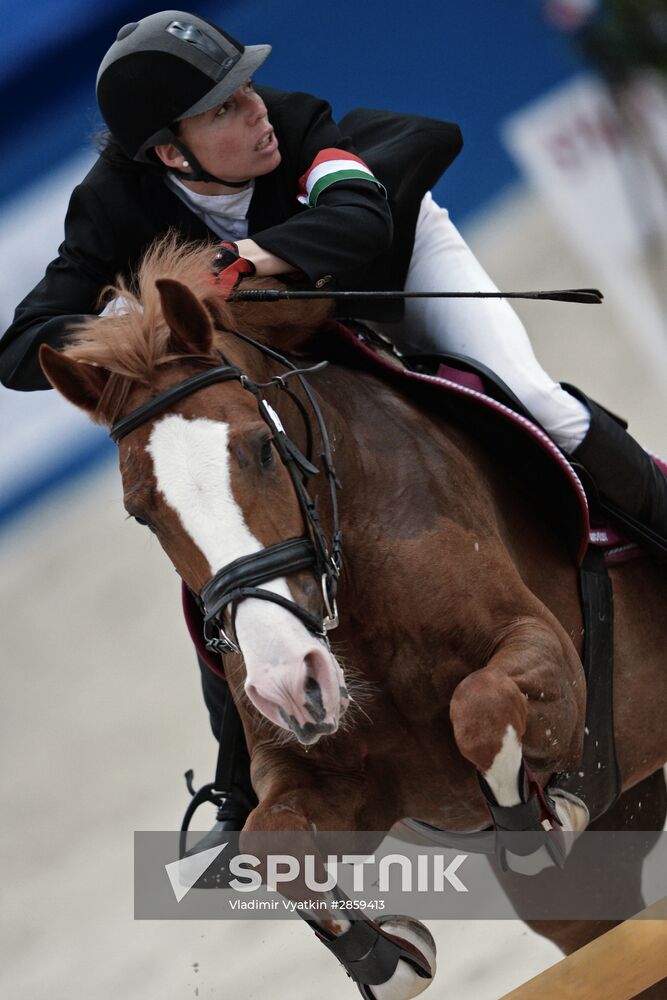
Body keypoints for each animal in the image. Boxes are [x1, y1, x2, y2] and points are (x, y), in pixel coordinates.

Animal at [40, 242, 667, 1000]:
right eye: (141, 513)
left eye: (262, 446)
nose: (290, 683)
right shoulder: (329, 778)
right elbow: (269, 840)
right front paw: (387, 957)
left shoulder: (543, 653)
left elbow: (479, 705)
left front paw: (533, 824)